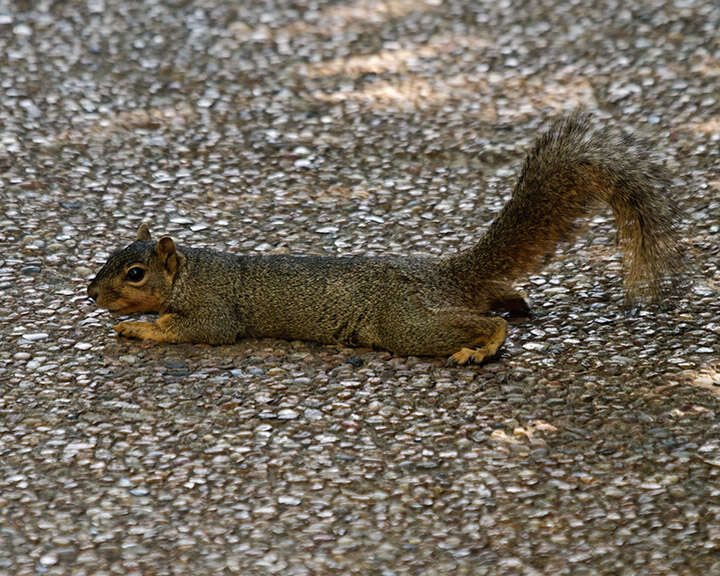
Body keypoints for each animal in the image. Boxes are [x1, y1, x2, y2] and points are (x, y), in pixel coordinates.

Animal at [88, 112, 680, 364]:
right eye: (110, 256)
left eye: (135, 273)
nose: (91, 293)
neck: (191, 271)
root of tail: (442, 273)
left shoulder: (215, 311)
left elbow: (194, 330)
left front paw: (140, 328)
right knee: (500, 298)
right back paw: (511, 302)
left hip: (405, 322)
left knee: (473, 325)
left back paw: (484, 346)